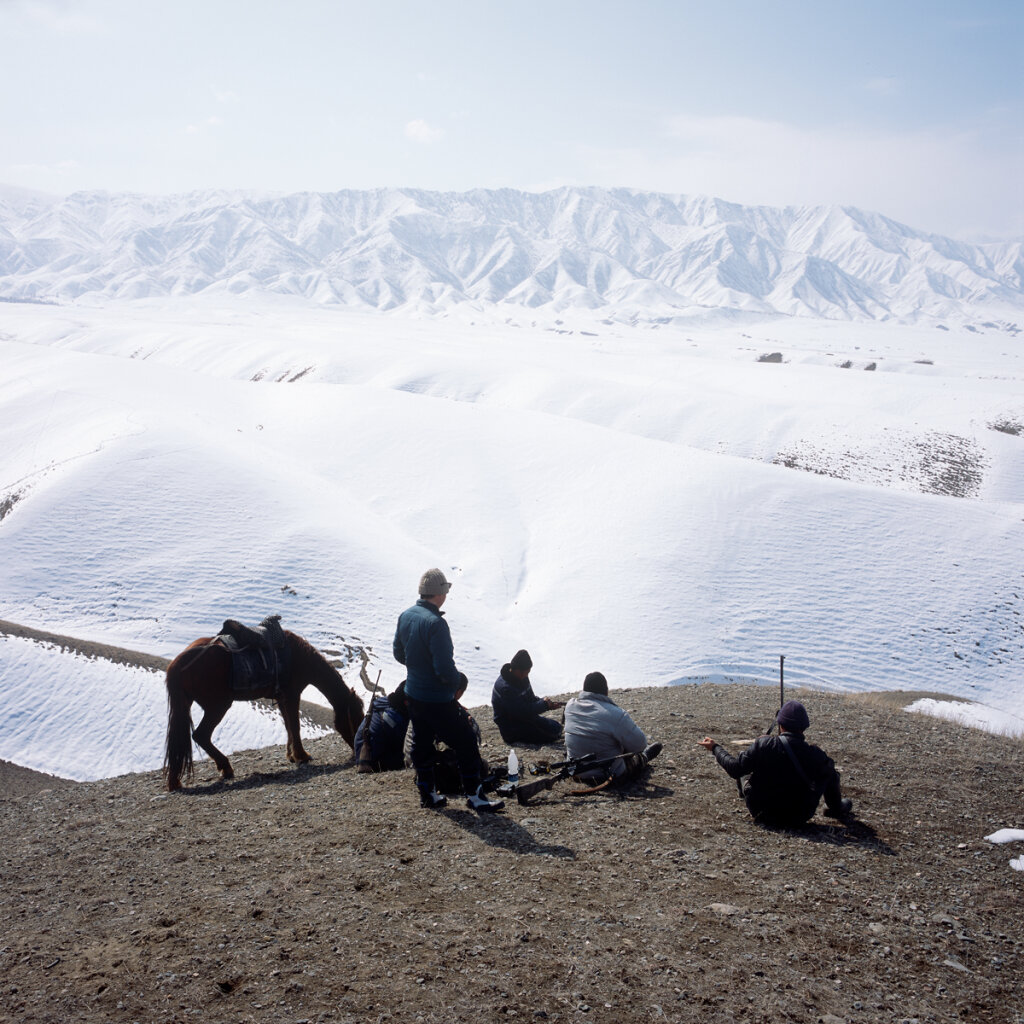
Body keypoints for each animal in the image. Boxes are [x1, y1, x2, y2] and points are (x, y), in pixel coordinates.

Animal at [160, 626, 364, 786]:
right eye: (356, 717)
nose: (358, 751)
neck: (299, 657)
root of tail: (178, 664)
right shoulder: (292, 695)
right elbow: (295, 726)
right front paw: (302, 756)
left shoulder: (282, 698)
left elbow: (289, 726)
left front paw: (291, 755)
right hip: (217, 706)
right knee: (201, 735)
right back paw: (226, 768)